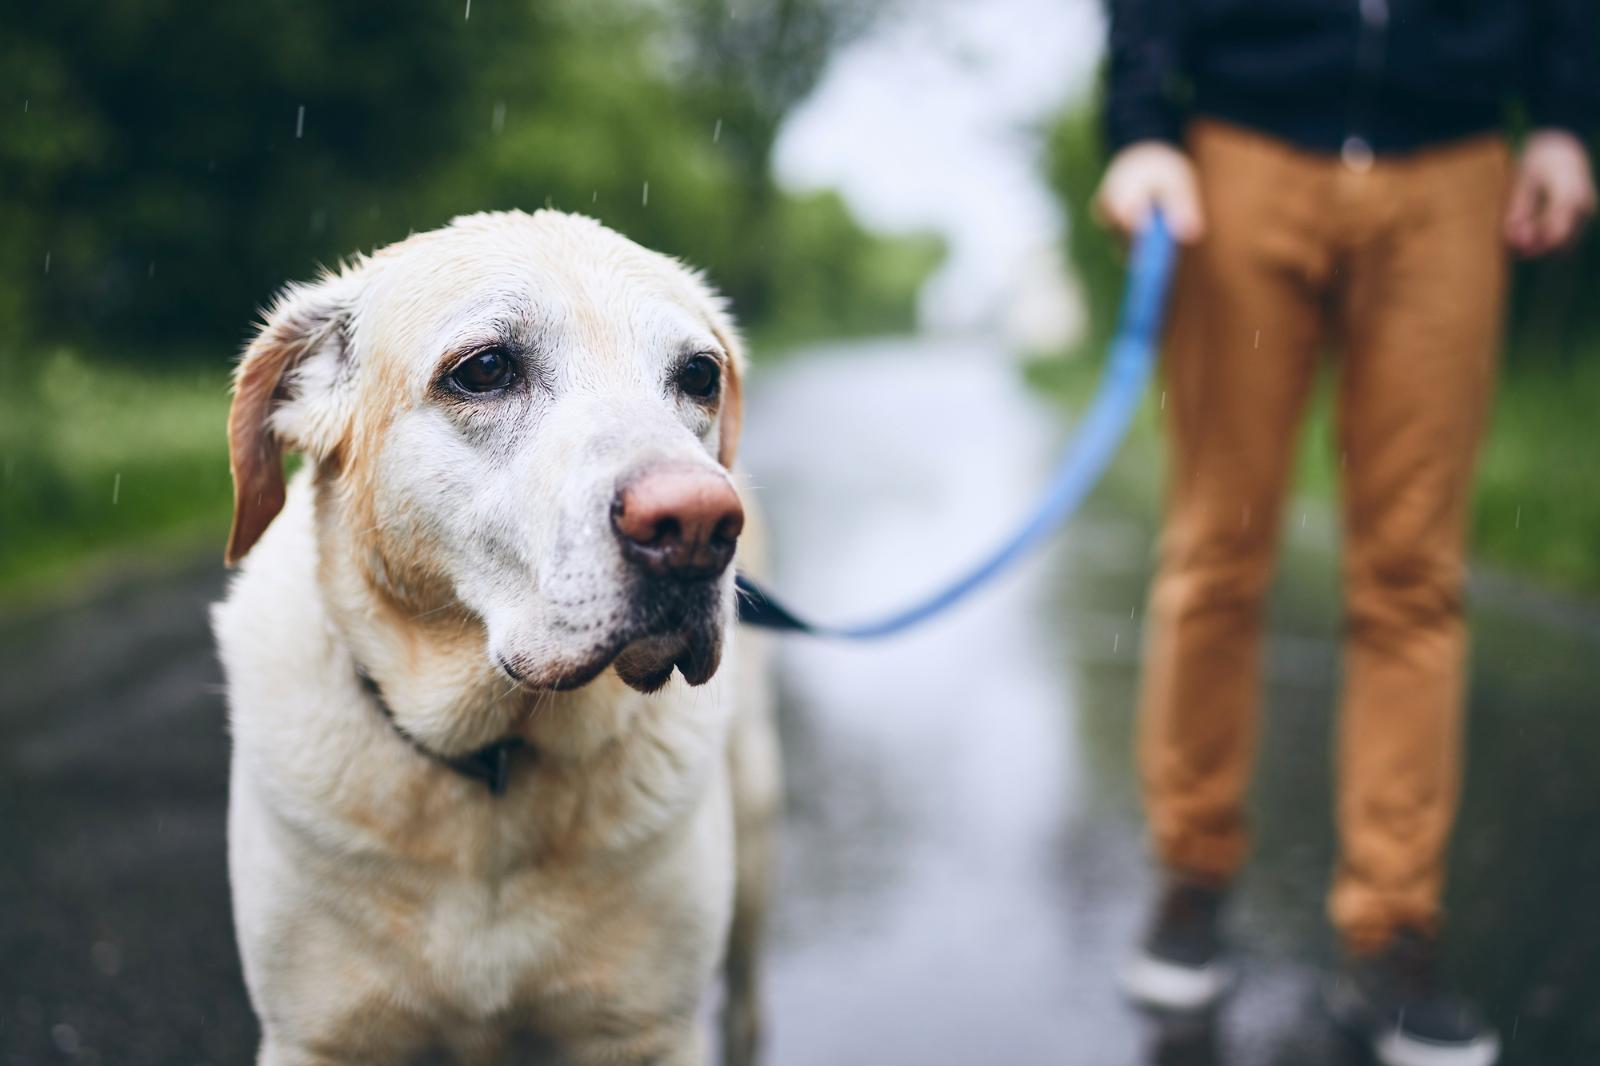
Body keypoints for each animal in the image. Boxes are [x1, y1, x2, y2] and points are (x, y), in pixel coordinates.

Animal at [209, 209, 784, 1062]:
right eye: (484, 369)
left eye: (701, 376)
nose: (697, 525)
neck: (495, 762)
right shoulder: (318, 1036)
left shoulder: (646, 1032)